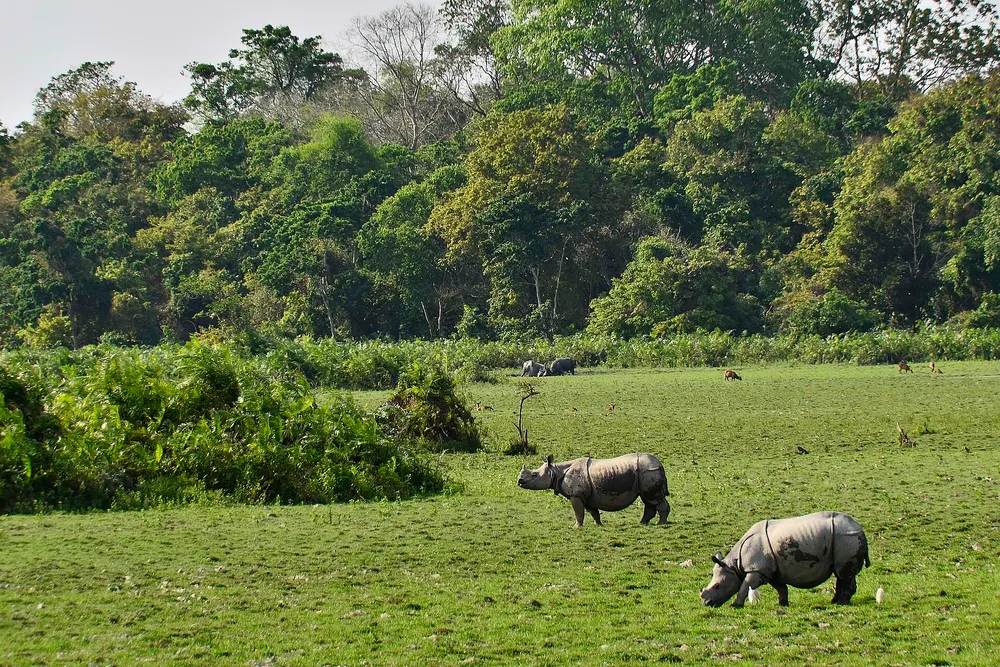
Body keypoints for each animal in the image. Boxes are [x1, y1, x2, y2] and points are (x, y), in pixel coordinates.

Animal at [517, 453, 670, 527]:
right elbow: (593, 512)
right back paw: (643, 523)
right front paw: (599, 525)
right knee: (648, 499)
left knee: (653, 498)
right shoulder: (587, 496)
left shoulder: (576, 495)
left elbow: (578, 512)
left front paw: (576, 527)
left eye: (534, 475)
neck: (555, 471)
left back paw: (660, 524)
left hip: (648, 471)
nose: (519, 481)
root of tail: (660, 464)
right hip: (646, 474)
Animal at [700, 511, 870, 608]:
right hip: (844, 538)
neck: (734, 566)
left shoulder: (756, 569)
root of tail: (859, 527)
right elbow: (781, 588)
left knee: (844, 574)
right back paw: (834, 602)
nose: (707, 603)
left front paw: (735, 606)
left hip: (846, 537)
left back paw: (841, 603)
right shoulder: (772, 571)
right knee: (840, 574)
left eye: (717, 586)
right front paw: (783, 605)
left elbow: (744, 586)